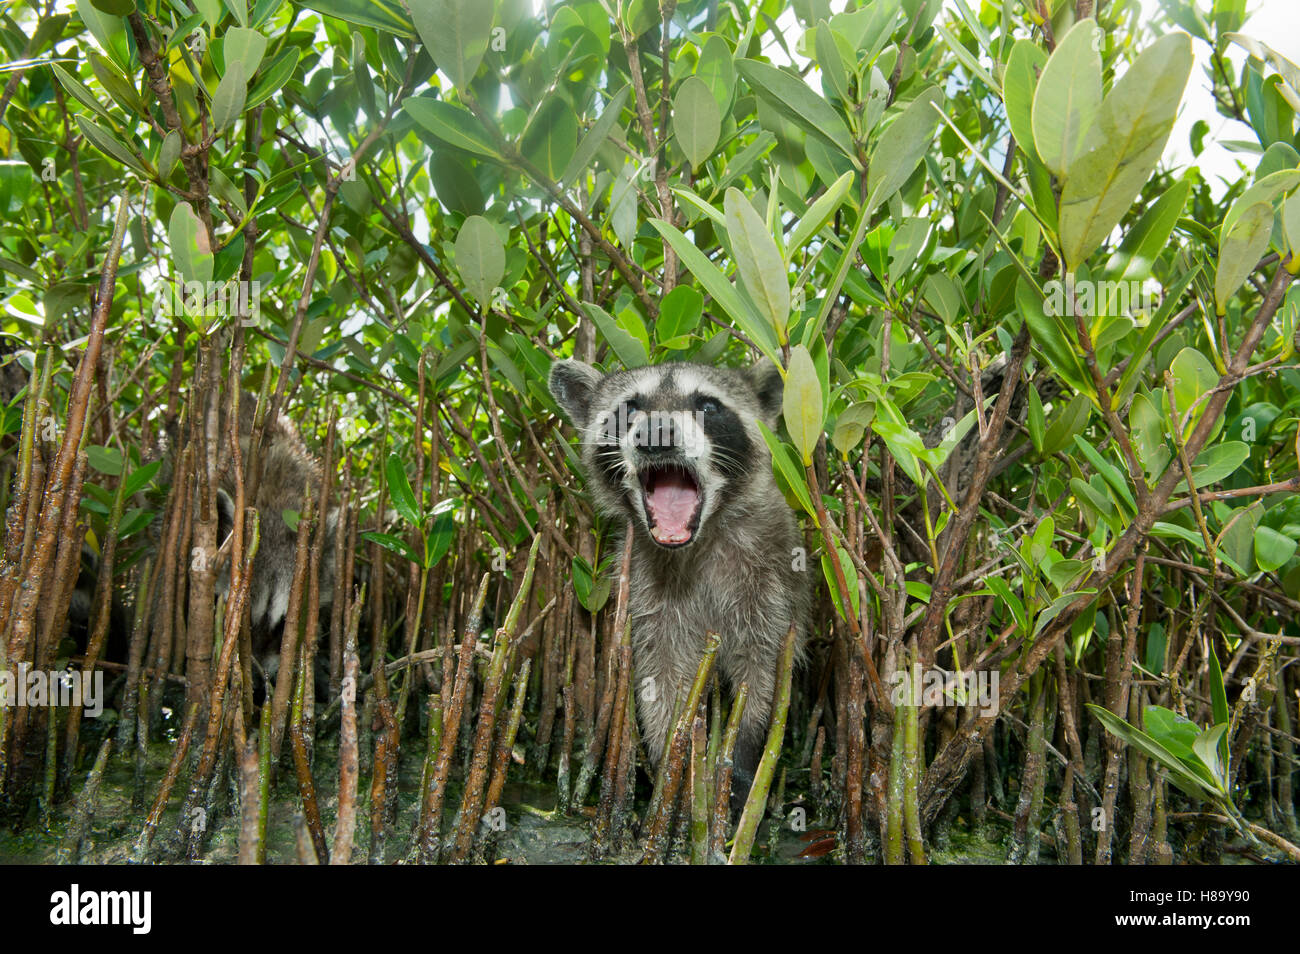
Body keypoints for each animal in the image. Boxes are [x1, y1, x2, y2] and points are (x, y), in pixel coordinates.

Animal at [546, 358, 806, 805]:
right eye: (629, 408)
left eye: (708, 405)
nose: (658, 434)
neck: (696, 540)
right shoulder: (645, 586)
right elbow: (662, 674)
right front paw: (670, 760)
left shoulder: (769, 578)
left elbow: (761, 670)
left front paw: (741, 753)